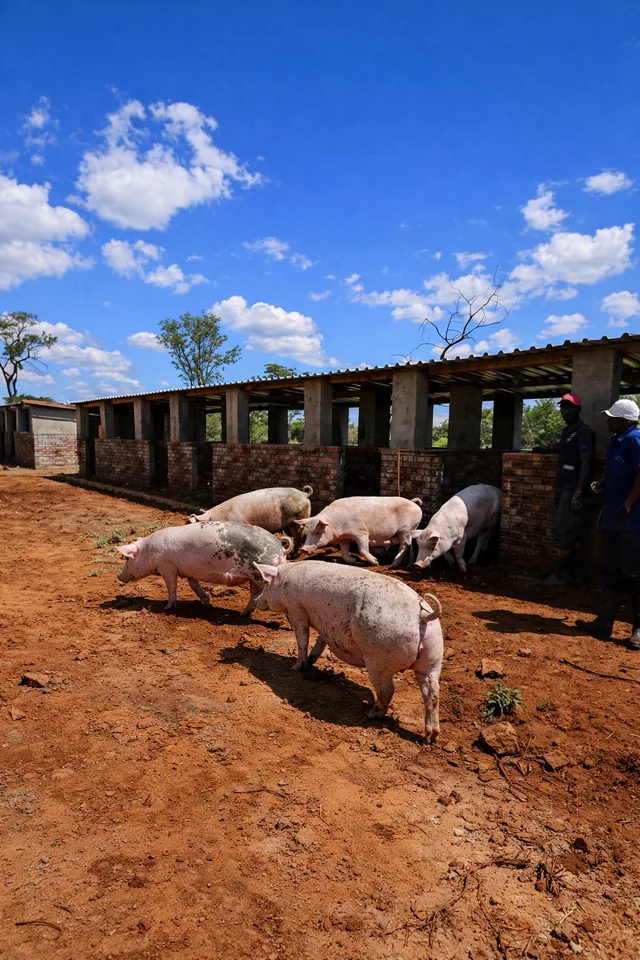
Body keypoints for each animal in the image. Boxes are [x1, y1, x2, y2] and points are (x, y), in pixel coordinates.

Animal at [117, 521, 290, 615]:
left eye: (127, 558)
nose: (118, 576)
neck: (148, 552)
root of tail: (280, 548)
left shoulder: (167, 567)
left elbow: (172, 587)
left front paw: (167, 607)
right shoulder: (188, 571)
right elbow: (194, 585)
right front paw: (207, 602)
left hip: (261, 573)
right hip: (253, 578)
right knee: (254, 595)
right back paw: (244, 614)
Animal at [253, 561, 443, 743]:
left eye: (265, 583)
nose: (256, 600)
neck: (284, 580)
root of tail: (422, 616)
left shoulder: (296, 609)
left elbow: (302, 639)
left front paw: (296, 667)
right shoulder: (325, 626)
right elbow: (320, 642)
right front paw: (311, 661)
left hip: (378, 658)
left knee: (388, 690)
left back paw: (371, 714)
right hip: (433, 657)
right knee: (432, 692)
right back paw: (430, 738)